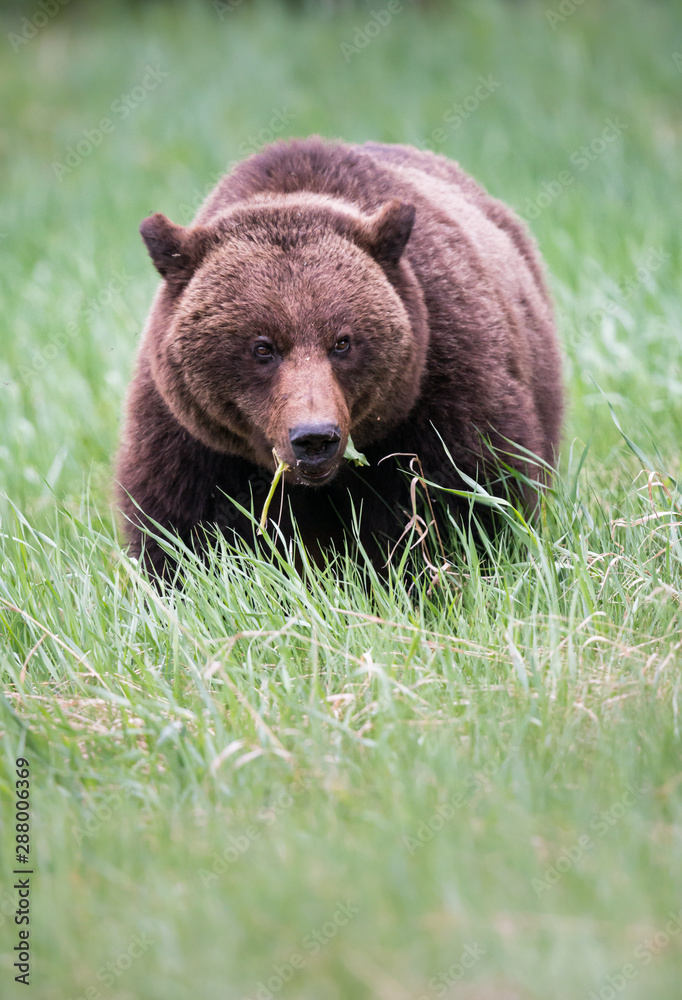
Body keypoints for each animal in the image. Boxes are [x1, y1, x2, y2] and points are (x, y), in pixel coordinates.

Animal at [115, 136, 563, 581]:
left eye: (342, 342)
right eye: (262, 347)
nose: (315, 438)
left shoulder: (441, 385)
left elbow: (460, 499)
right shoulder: (190, 439)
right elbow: (183, 534)